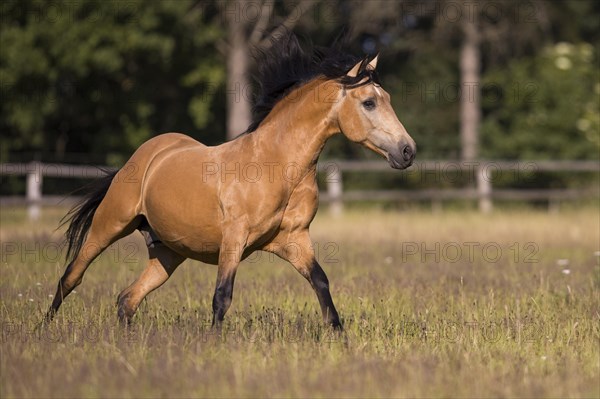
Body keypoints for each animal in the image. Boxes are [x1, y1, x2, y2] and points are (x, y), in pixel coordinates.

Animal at [47, 36, 414, 330]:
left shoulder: (294, 240)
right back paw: (45, 330)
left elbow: (321, 283)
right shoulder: (234, 240)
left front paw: (339, 337)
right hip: (109, 225)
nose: (407, 151)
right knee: (71, 276)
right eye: (369, 102)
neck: (275, 166)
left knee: (127, 299)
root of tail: (144, 155)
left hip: (168, 253)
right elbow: (222, 296)